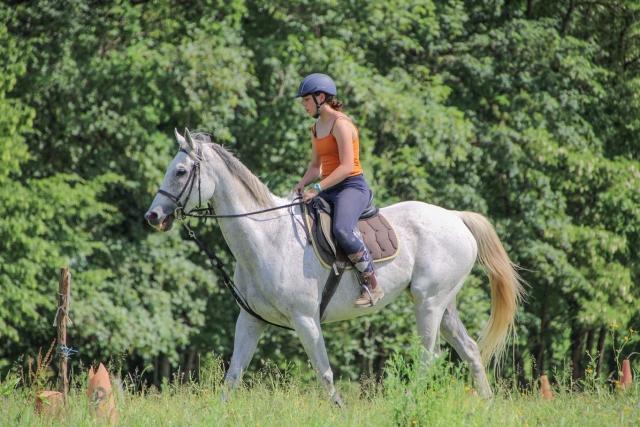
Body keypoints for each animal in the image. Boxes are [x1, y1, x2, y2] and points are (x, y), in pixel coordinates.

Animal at [144, 129, 525, 403]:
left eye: (180, 171)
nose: (153, 216)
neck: (267, 237)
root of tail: (456, 217)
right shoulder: (251, 319)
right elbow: (233, 376)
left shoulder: (305, 319)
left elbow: (324, 373)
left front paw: (338, 408)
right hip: (443, 305)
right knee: (471, 351)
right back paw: (487, 405)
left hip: (428, 304)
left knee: (427, 359)